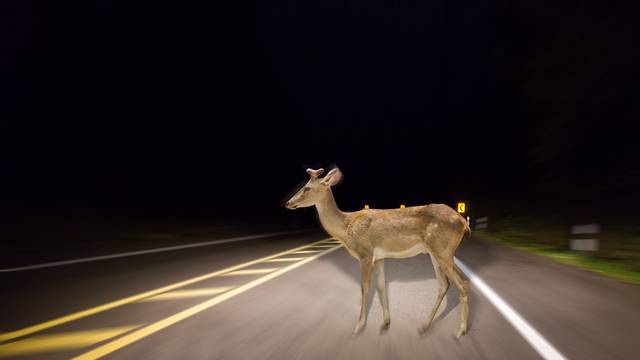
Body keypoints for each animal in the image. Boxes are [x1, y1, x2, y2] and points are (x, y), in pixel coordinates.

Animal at [284, 167, 470, 338]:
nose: (288, 203)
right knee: (448, 284)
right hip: (438, 253)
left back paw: (460, 331)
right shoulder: (378, 257)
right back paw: (424, 326)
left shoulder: (365, 254)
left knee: (460, 283)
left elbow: (364, 287)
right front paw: (386, 322)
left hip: (442, 250)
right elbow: (381, 286)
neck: (346, 226)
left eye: (307, 188)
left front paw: (358, 326)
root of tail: (463, 222)